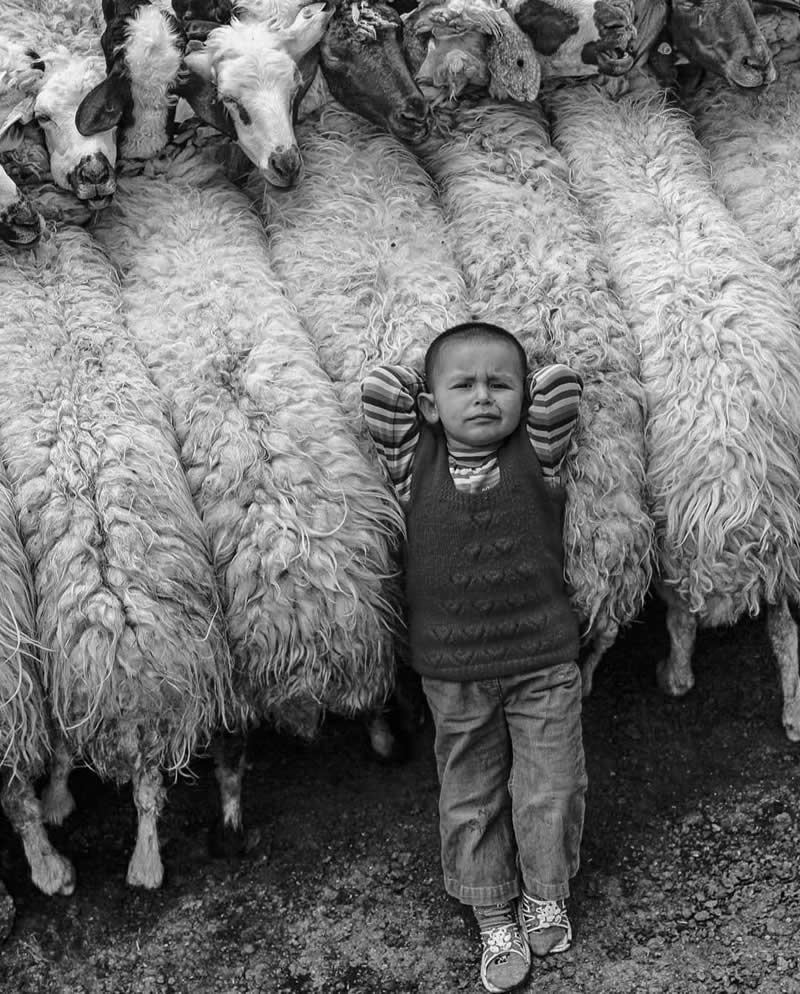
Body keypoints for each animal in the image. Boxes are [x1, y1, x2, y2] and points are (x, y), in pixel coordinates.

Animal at [0, 225, 233, 887]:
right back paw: (143, 862)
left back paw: (54, 858)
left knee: (37, 785)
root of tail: (123, 624)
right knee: (147, 790)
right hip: (139, 704)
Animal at [543, 72, 800, 740]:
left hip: (682, 544)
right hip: (782, 537)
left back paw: (667, 676)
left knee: (683, 621)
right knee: (786, 627)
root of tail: (737, 497)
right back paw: (793, 713)